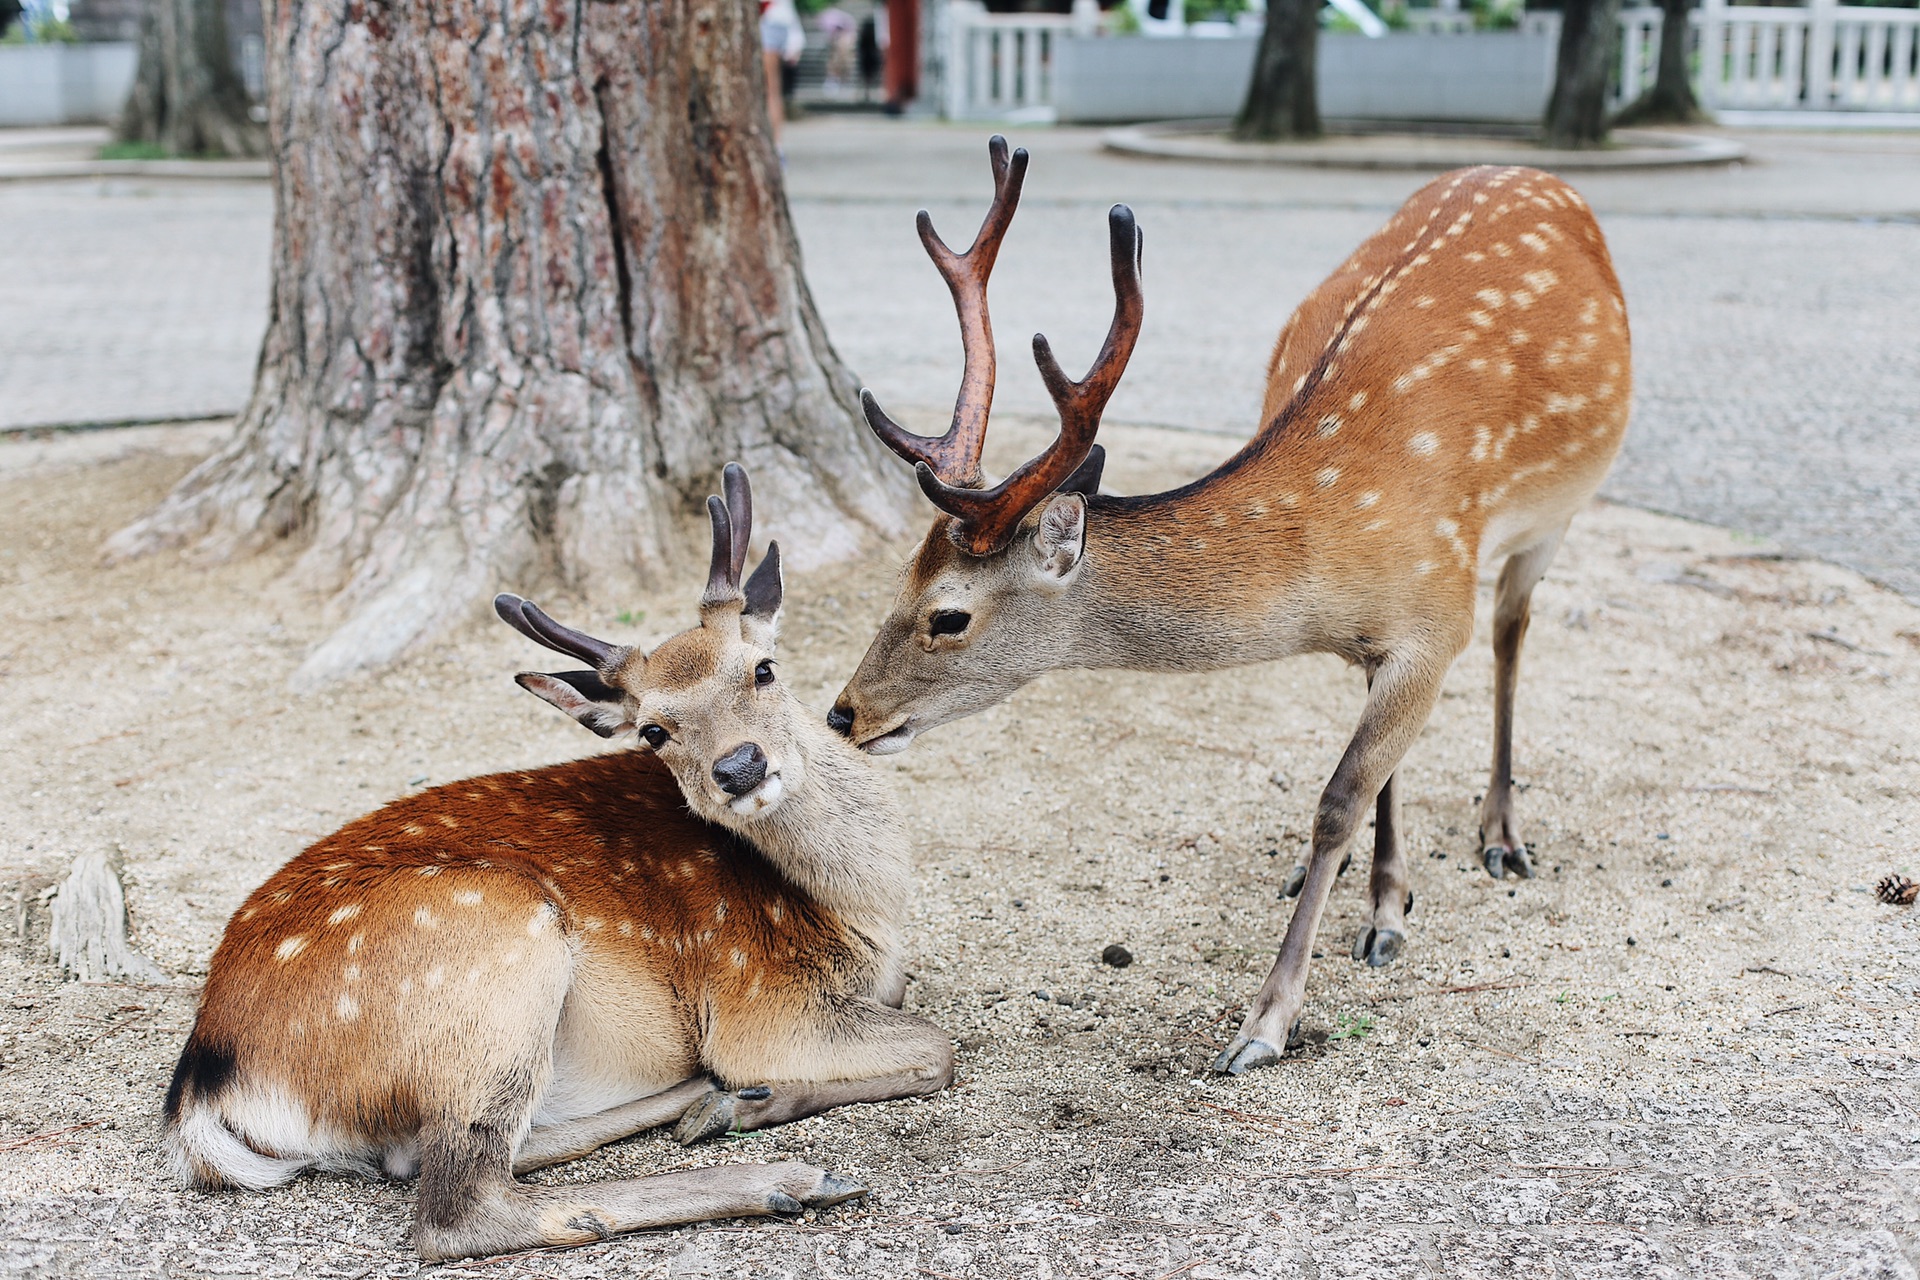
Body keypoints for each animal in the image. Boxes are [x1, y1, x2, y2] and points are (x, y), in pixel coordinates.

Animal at [165, 468, 952, 1258]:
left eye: (763, 668)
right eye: (653, 731)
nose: (739, 767)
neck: (863, 912)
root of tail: (207, 1082)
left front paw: (742, 1101)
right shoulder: (760, 1000)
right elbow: (940, 1046)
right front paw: (754, 1101)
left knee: (433, 1153)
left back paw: (704, 1100)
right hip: (496, 944)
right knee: (456, 1201)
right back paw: (782, 1172)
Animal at [829, 140, 1635, 1074]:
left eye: (948, 615)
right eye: (900, 578)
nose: (843, 712)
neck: (1332, 554)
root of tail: (1531, 172)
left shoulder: (1439, 614)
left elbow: (1339, 797)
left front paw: (1263, 1025)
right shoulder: (1386, 638)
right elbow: (1372, 775)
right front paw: (1382, 905)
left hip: (1556, 515)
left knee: (1511, 631)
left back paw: (1502, 833)